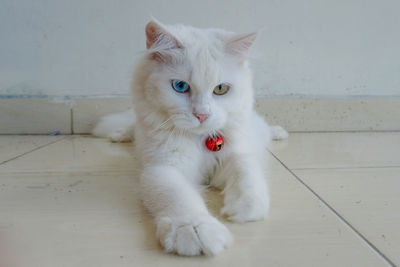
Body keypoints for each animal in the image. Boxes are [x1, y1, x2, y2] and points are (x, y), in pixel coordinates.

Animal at [94, 19, 288, 256]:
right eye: (180, 86)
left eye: (221, 89)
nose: (202, 115)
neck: (200, 139)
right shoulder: (163, 168)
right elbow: (180, 197)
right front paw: (194, 230)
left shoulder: (235, 154)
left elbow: (246, 173)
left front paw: (245, 207)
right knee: (131, 127)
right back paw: (118, 135)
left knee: (266, 130)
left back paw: (279, 133)